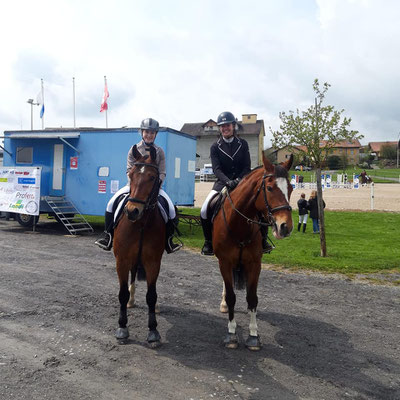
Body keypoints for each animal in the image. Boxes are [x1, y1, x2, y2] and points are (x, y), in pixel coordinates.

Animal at [114, 144, 166, 346]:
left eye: (152, 177)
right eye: (131, 175)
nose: (132, 211)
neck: (141, 224)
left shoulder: (153, 262)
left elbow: (151, 295)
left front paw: (153, 330)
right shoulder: (121, 260)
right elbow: (122, 294)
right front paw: (122, 327)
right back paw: (131, 300)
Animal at [212, 152, 294, 350]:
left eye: (290, 188)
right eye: (270, 188)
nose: (285, 227)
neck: (239, 224)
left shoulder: (254, 264)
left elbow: (252, 298)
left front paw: (253, 335)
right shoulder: (224, 261)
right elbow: (232, 296)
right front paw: (232, 334)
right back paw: (223, 304)